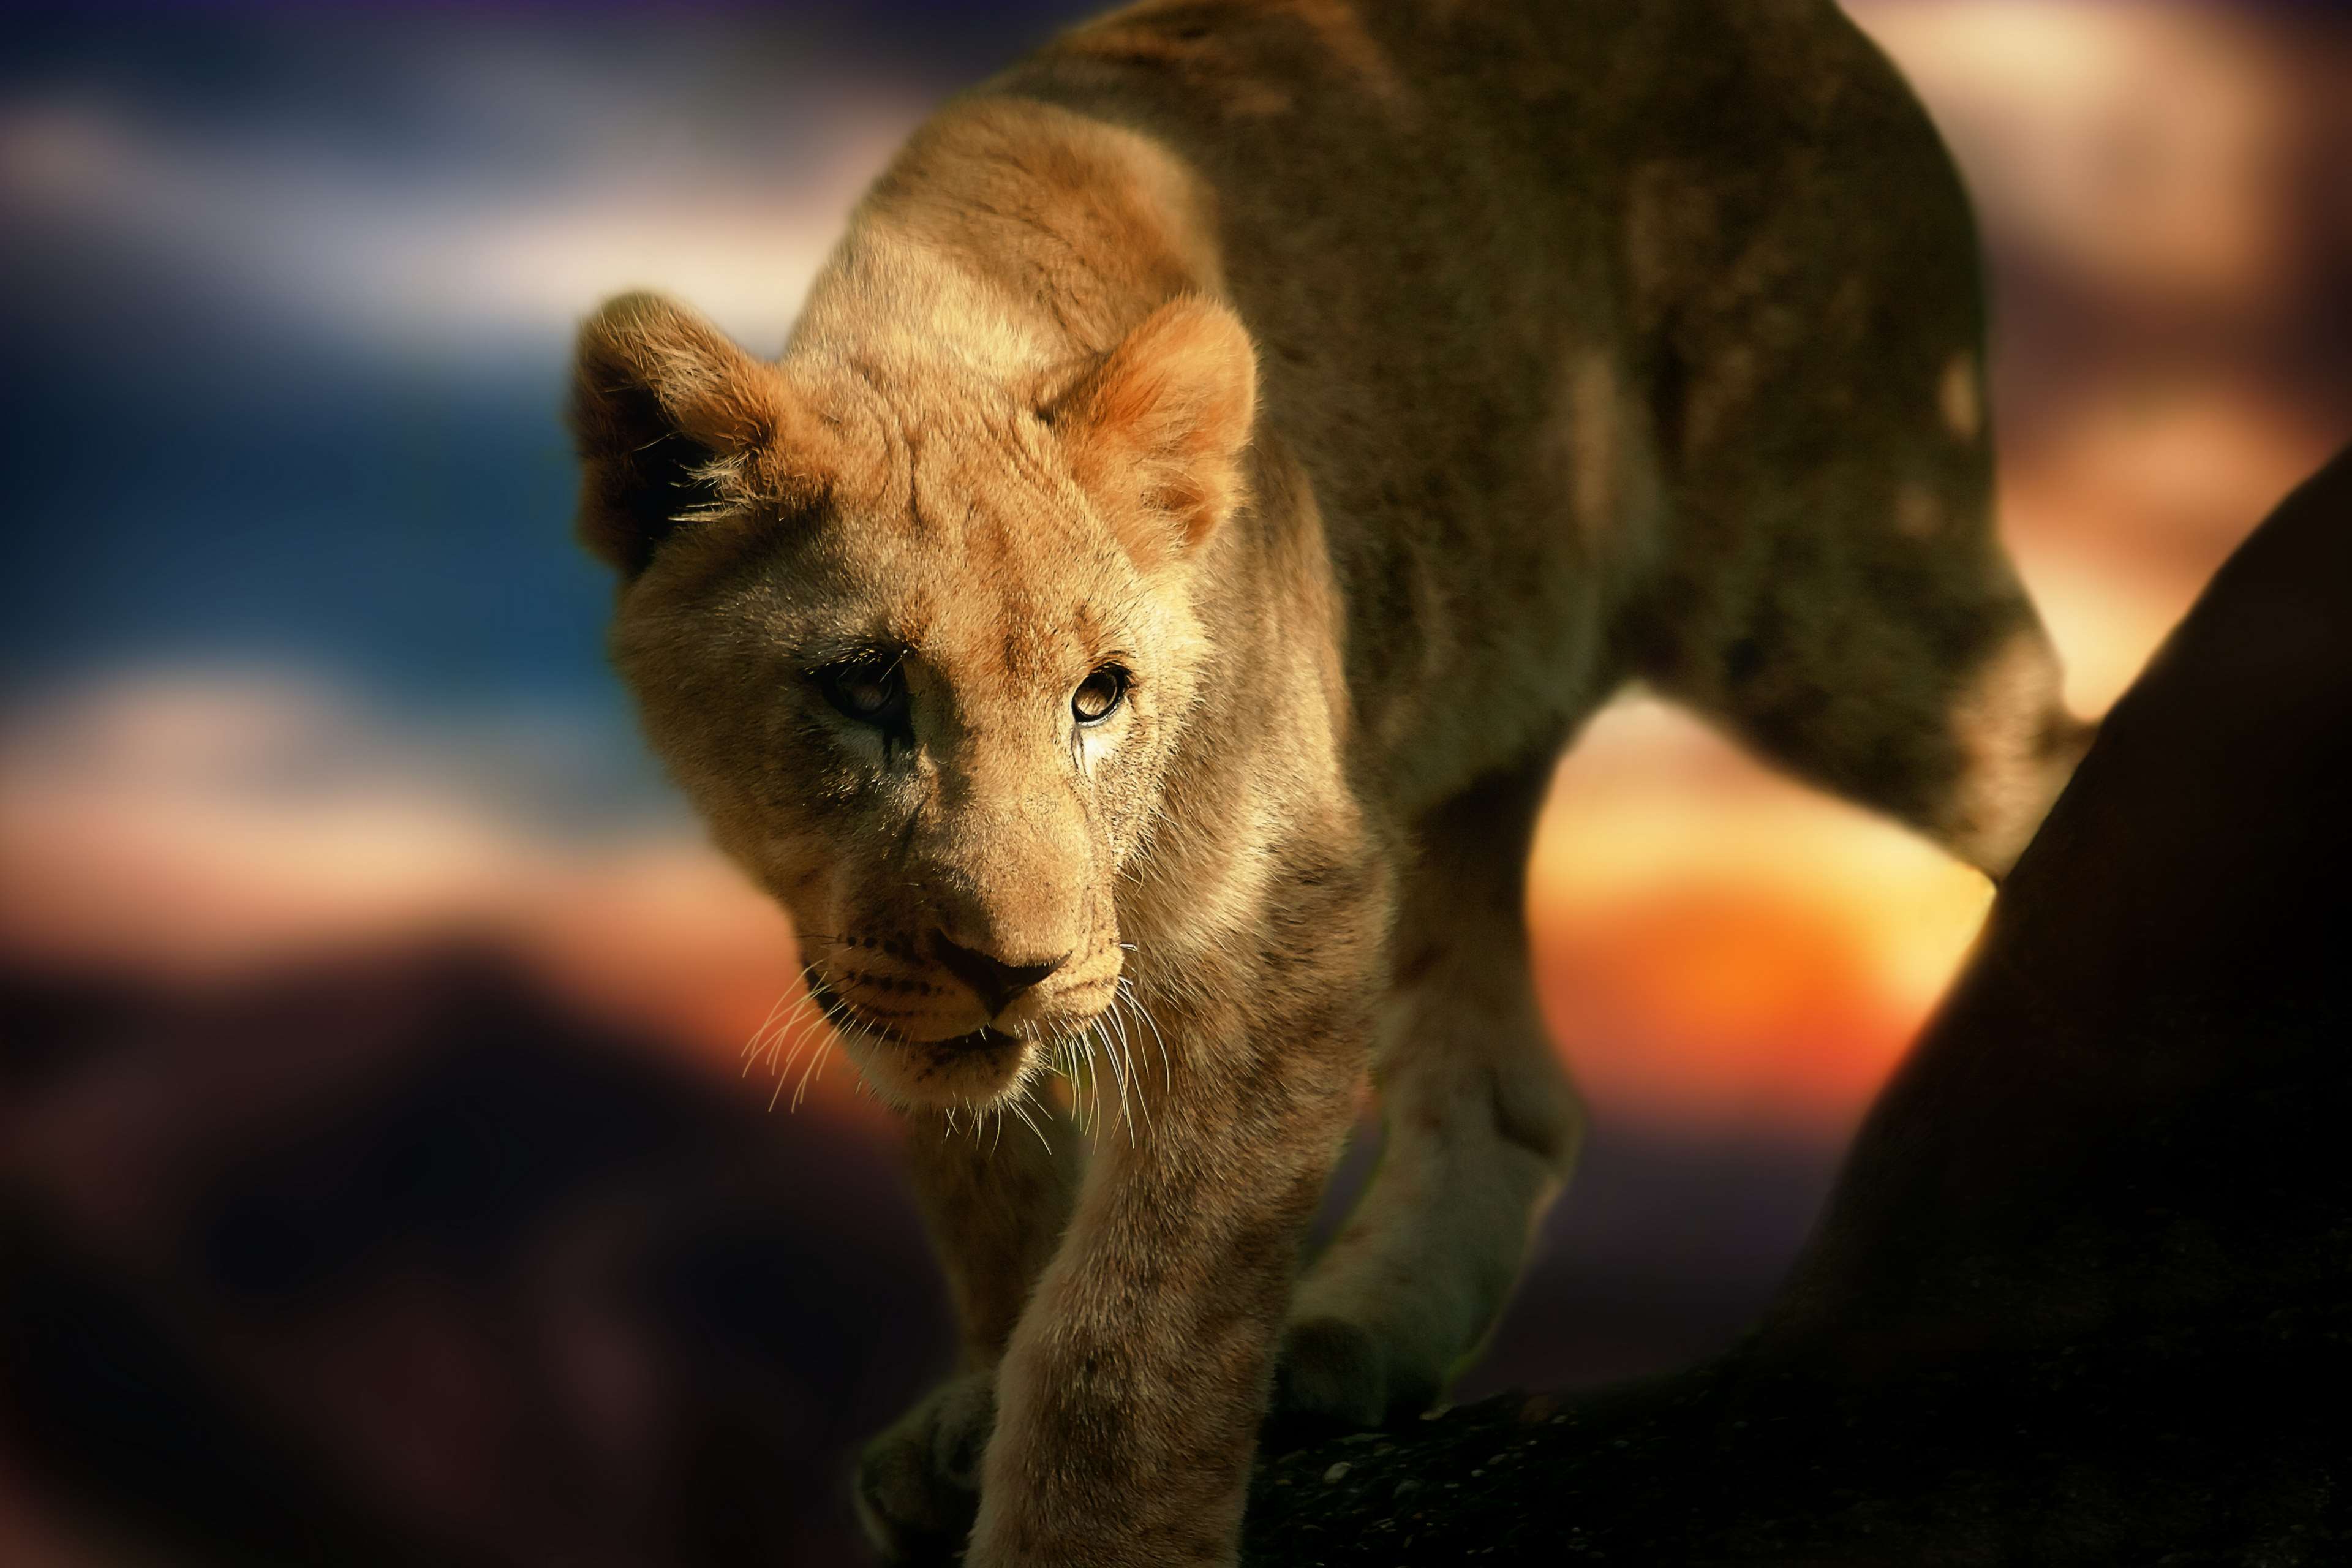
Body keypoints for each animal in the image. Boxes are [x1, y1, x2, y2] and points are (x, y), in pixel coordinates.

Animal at [567, 1, 2090, 1562]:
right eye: (864, 685)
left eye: (1098, 695)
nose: (1013, 967)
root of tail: (1832, 33)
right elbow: (991, 1193)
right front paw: (973, 1411)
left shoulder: (1282, 905)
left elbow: (1137, 1322)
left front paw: (1083, 1528)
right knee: (1504, 1078)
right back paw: (1348, 1337)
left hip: (1832, 602)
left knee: (2051, 764)